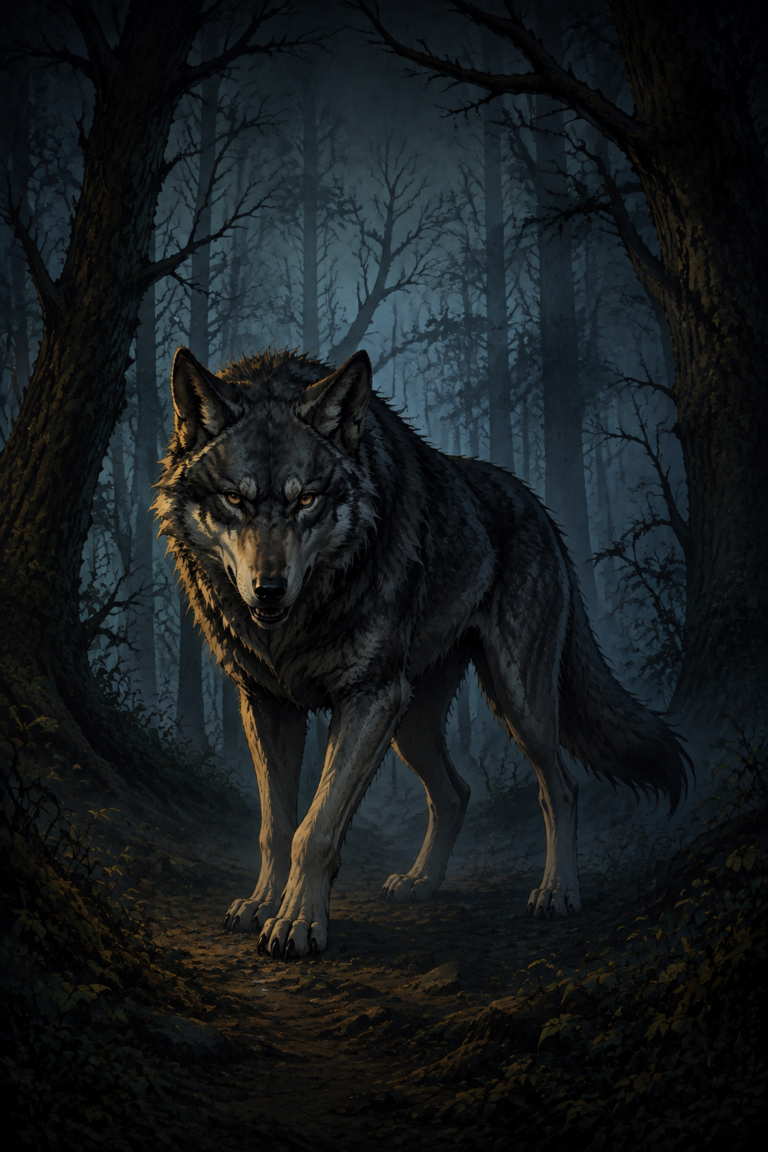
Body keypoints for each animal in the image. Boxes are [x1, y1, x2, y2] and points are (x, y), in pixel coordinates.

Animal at [155, 345, 690, 959]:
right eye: (234, 499)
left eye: (306, 499)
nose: (268, 589)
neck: (300, 620)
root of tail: (537, 507)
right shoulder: (267, 703)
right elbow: (276, 826)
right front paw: (263, 904)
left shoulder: (368, 698)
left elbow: (315, 829)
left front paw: (297, 923)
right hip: (411, 722)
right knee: (455, 793)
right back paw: (420, 882)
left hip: (516, 703)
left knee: (561, 787)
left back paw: (557, 892)